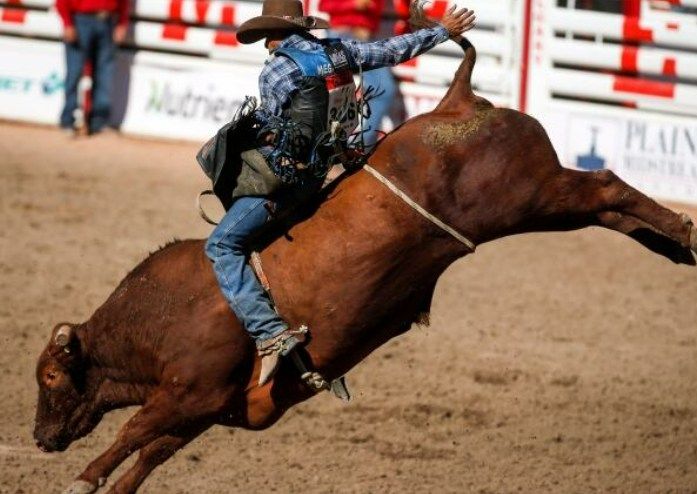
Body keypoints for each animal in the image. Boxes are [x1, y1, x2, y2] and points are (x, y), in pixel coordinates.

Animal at [34, 38, 696, 494]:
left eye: (50, 377)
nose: (41, 439)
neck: (164, 314)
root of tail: (458, 100)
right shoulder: (207, 405)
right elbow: (153, 452)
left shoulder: (187, 390)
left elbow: (134, 433)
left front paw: (83, 478)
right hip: (542, 204)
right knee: (605, 207)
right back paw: (674, 245)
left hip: (531, 194)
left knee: (604, 184)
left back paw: (682, 231)